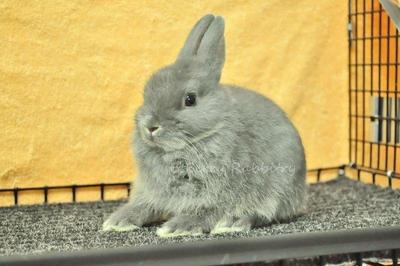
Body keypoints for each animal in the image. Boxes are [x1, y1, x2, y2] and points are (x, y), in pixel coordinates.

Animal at [103, 14, 306, 237]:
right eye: (147, 92)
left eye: (190, 99)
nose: (150, 126)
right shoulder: (150, 191)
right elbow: (142, 206)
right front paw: (117, 222)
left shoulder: (216, 194)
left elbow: (204, 213)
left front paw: (176, 228)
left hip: (278, 189)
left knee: (264, 213)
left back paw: (232, 223)